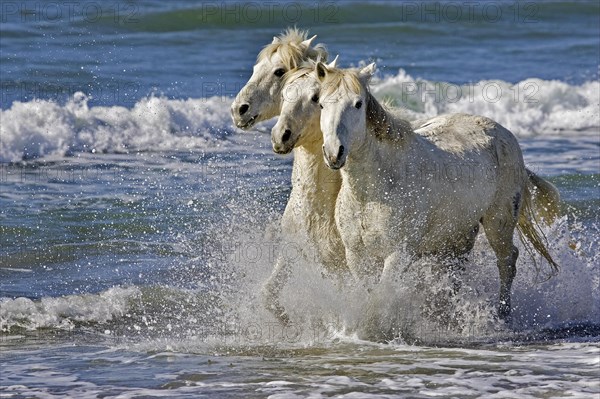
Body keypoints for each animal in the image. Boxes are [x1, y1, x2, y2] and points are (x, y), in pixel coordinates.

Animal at [316, 61, 556, 318]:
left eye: (358, 104)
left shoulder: (398, 254)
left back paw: (503, 313)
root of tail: (504, 132)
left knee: (507, 261)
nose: (334, 153)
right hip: (458, 233)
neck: (371, 194)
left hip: (498, 223)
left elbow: (379, 300)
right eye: (320, 104)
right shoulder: (356, 255)